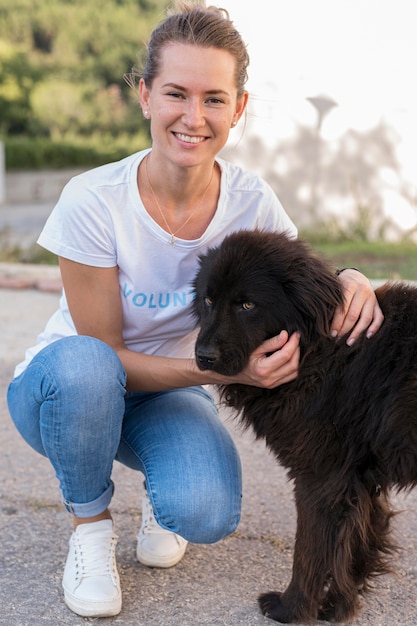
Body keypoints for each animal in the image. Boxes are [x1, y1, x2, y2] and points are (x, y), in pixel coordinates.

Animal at [192, 229, 416, 624]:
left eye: (247, 305)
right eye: (208, 299)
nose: (203, 357)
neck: (320, 347)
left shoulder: (320, 477)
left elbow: (309, 552)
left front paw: (292, 608)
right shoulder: (357, 479)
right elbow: (352, 548)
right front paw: (339, 606)